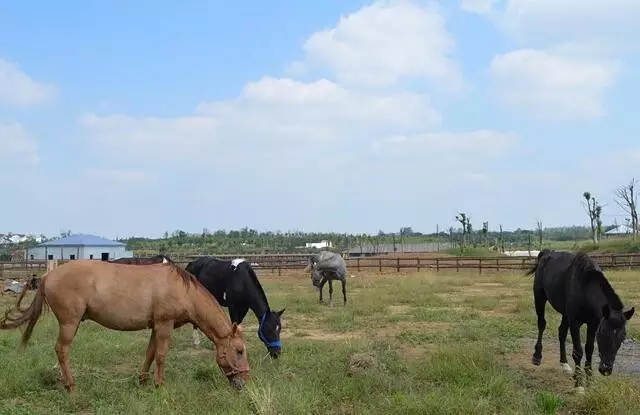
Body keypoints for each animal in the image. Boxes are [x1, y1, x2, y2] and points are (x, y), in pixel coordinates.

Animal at [0, 260, 250, 394]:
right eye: (239, 351)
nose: (245, 382)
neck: (184, 291)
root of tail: (47, 276)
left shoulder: (155, 326)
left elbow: (150, 353)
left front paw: (143, 382)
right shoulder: (165, 325)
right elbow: (161, 356)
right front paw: (160, 386)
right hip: (69, 324)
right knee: (62, 351)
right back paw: (71, 387)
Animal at [524, 250, 636, 394]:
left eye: (622, 338)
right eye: (603, 335)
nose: (606, 370)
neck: (585, 287)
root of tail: (546, 253)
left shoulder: (593, 324)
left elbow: (589, 349)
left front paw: (590, 382)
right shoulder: (575, 322)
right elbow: (578, 352)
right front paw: (579, 385)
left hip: (565, 314)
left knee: (561, 332)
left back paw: (564, 364)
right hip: (539, 297)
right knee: (541, 324)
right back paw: (537, 357)